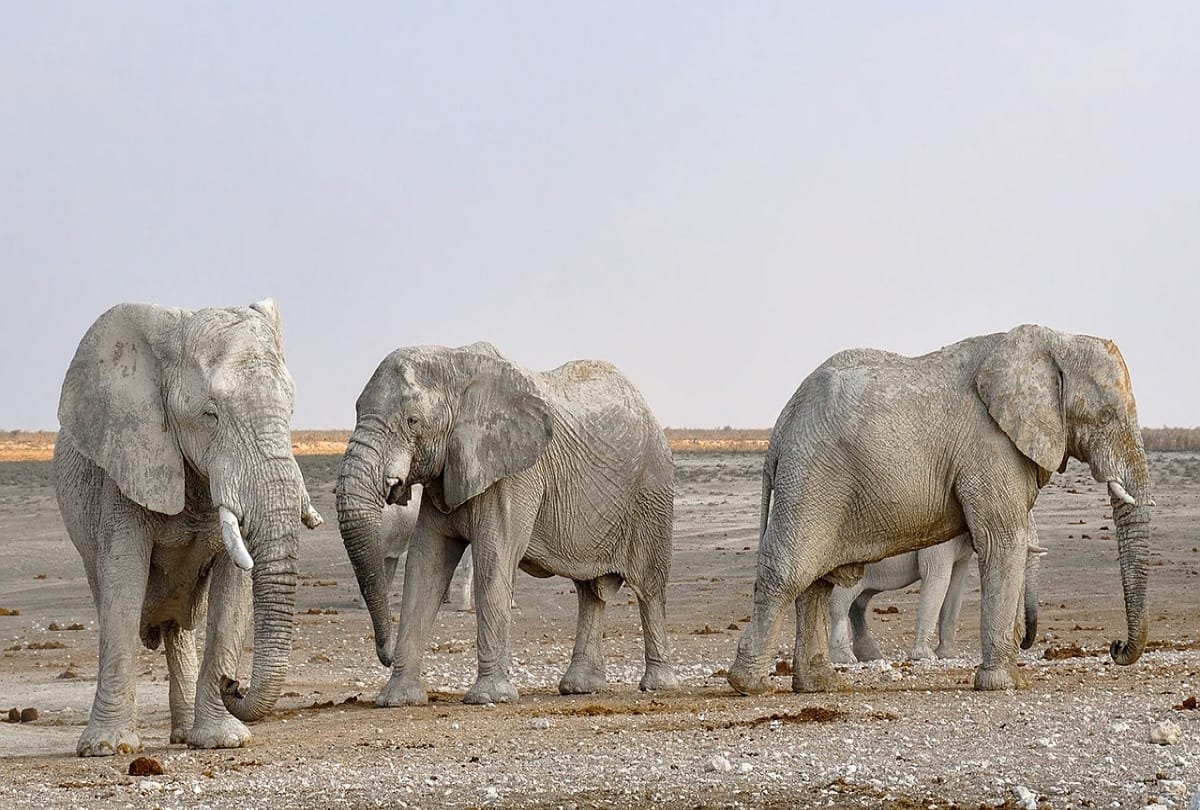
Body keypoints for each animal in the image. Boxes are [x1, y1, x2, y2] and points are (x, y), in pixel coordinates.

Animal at [54, 299, 322, 756]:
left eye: (290, 410)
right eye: (210, 415)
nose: (235, 683)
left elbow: (233, 591)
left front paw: (223, 741)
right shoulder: (128, 462)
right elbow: (123, 581)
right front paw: (107, 748)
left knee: (177, 628)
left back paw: (183, 736)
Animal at [335, 342, 678, 706]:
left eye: (413, 421)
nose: (384, 656)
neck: (455, 362)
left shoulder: (515, 474)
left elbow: (493, 557)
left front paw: (489, 697)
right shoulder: (447, 473)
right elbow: (425, 564)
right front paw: (397, 699)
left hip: (652, 490)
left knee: (649, 585)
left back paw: (657, 684)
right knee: (590, 592)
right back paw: (580, 687)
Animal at [828, 518, 1044, 664]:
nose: (1023, 643)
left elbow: (956, 583)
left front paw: (946, 655)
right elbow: (937, 576)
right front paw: (925, 656)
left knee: (858, 604)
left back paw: (870, 656)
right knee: (841, 602)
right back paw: (845, 658)